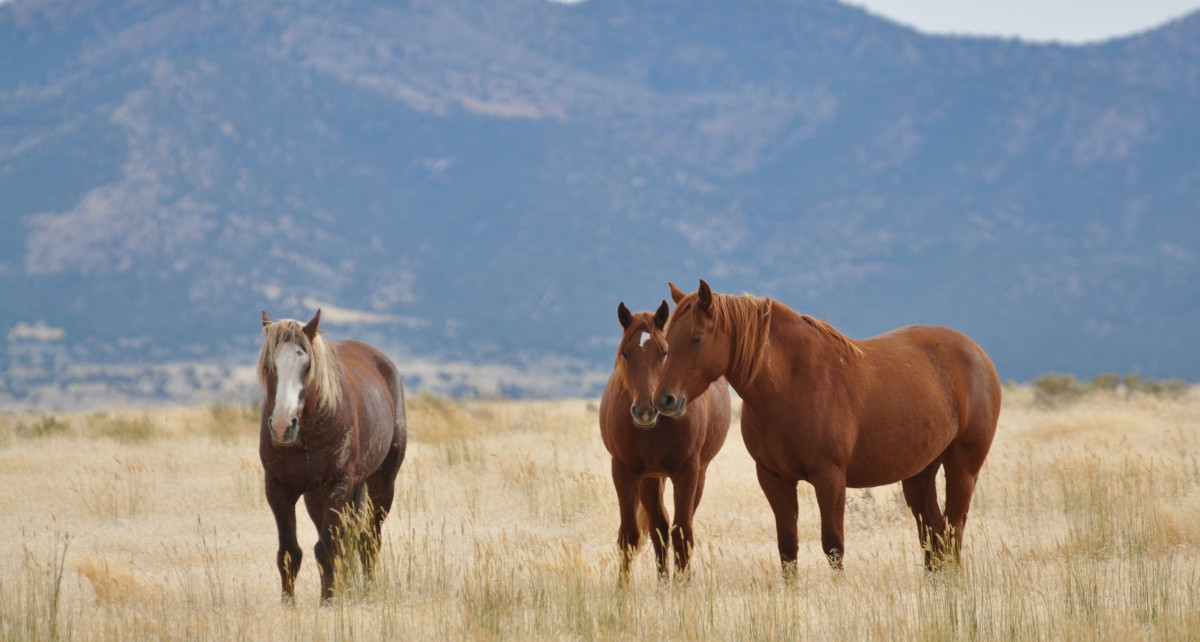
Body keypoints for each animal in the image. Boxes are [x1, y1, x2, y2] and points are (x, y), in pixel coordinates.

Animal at [258, 312, 408, 602]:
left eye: (306, 365)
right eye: (270, 365)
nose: (282, 426)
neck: (306, 436)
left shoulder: (338, 486)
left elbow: (327, 549)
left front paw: (328, 603)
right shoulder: (278, 488)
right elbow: (289, 553)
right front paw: (288, 604)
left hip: (382, 484)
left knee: (368, 539)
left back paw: (367, 591)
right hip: (316, 497)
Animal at [600, 301, 729, 583]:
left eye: (664, 353)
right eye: (625, 353)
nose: (645, 410)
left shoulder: (687, 471)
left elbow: (682, 532)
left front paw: (684, 586)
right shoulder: (623, 472)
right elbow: (629, 535)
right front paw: (621, 589)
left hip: (697, 474)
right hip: (650, 478)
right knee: (658, 527)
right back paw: (661, 584)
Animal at [652, 284, 998, 576]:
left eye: (697, 338)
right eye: (667, 342)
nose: (664, 400)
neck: (793, 382)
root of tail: (977, 354)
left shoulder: (830, 478)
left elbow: (833, 545)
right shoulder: (773, 478)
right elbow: (787, 547)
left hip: (962, 467)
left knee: (953, 528)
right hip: (920, 473)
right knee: (933, 532)